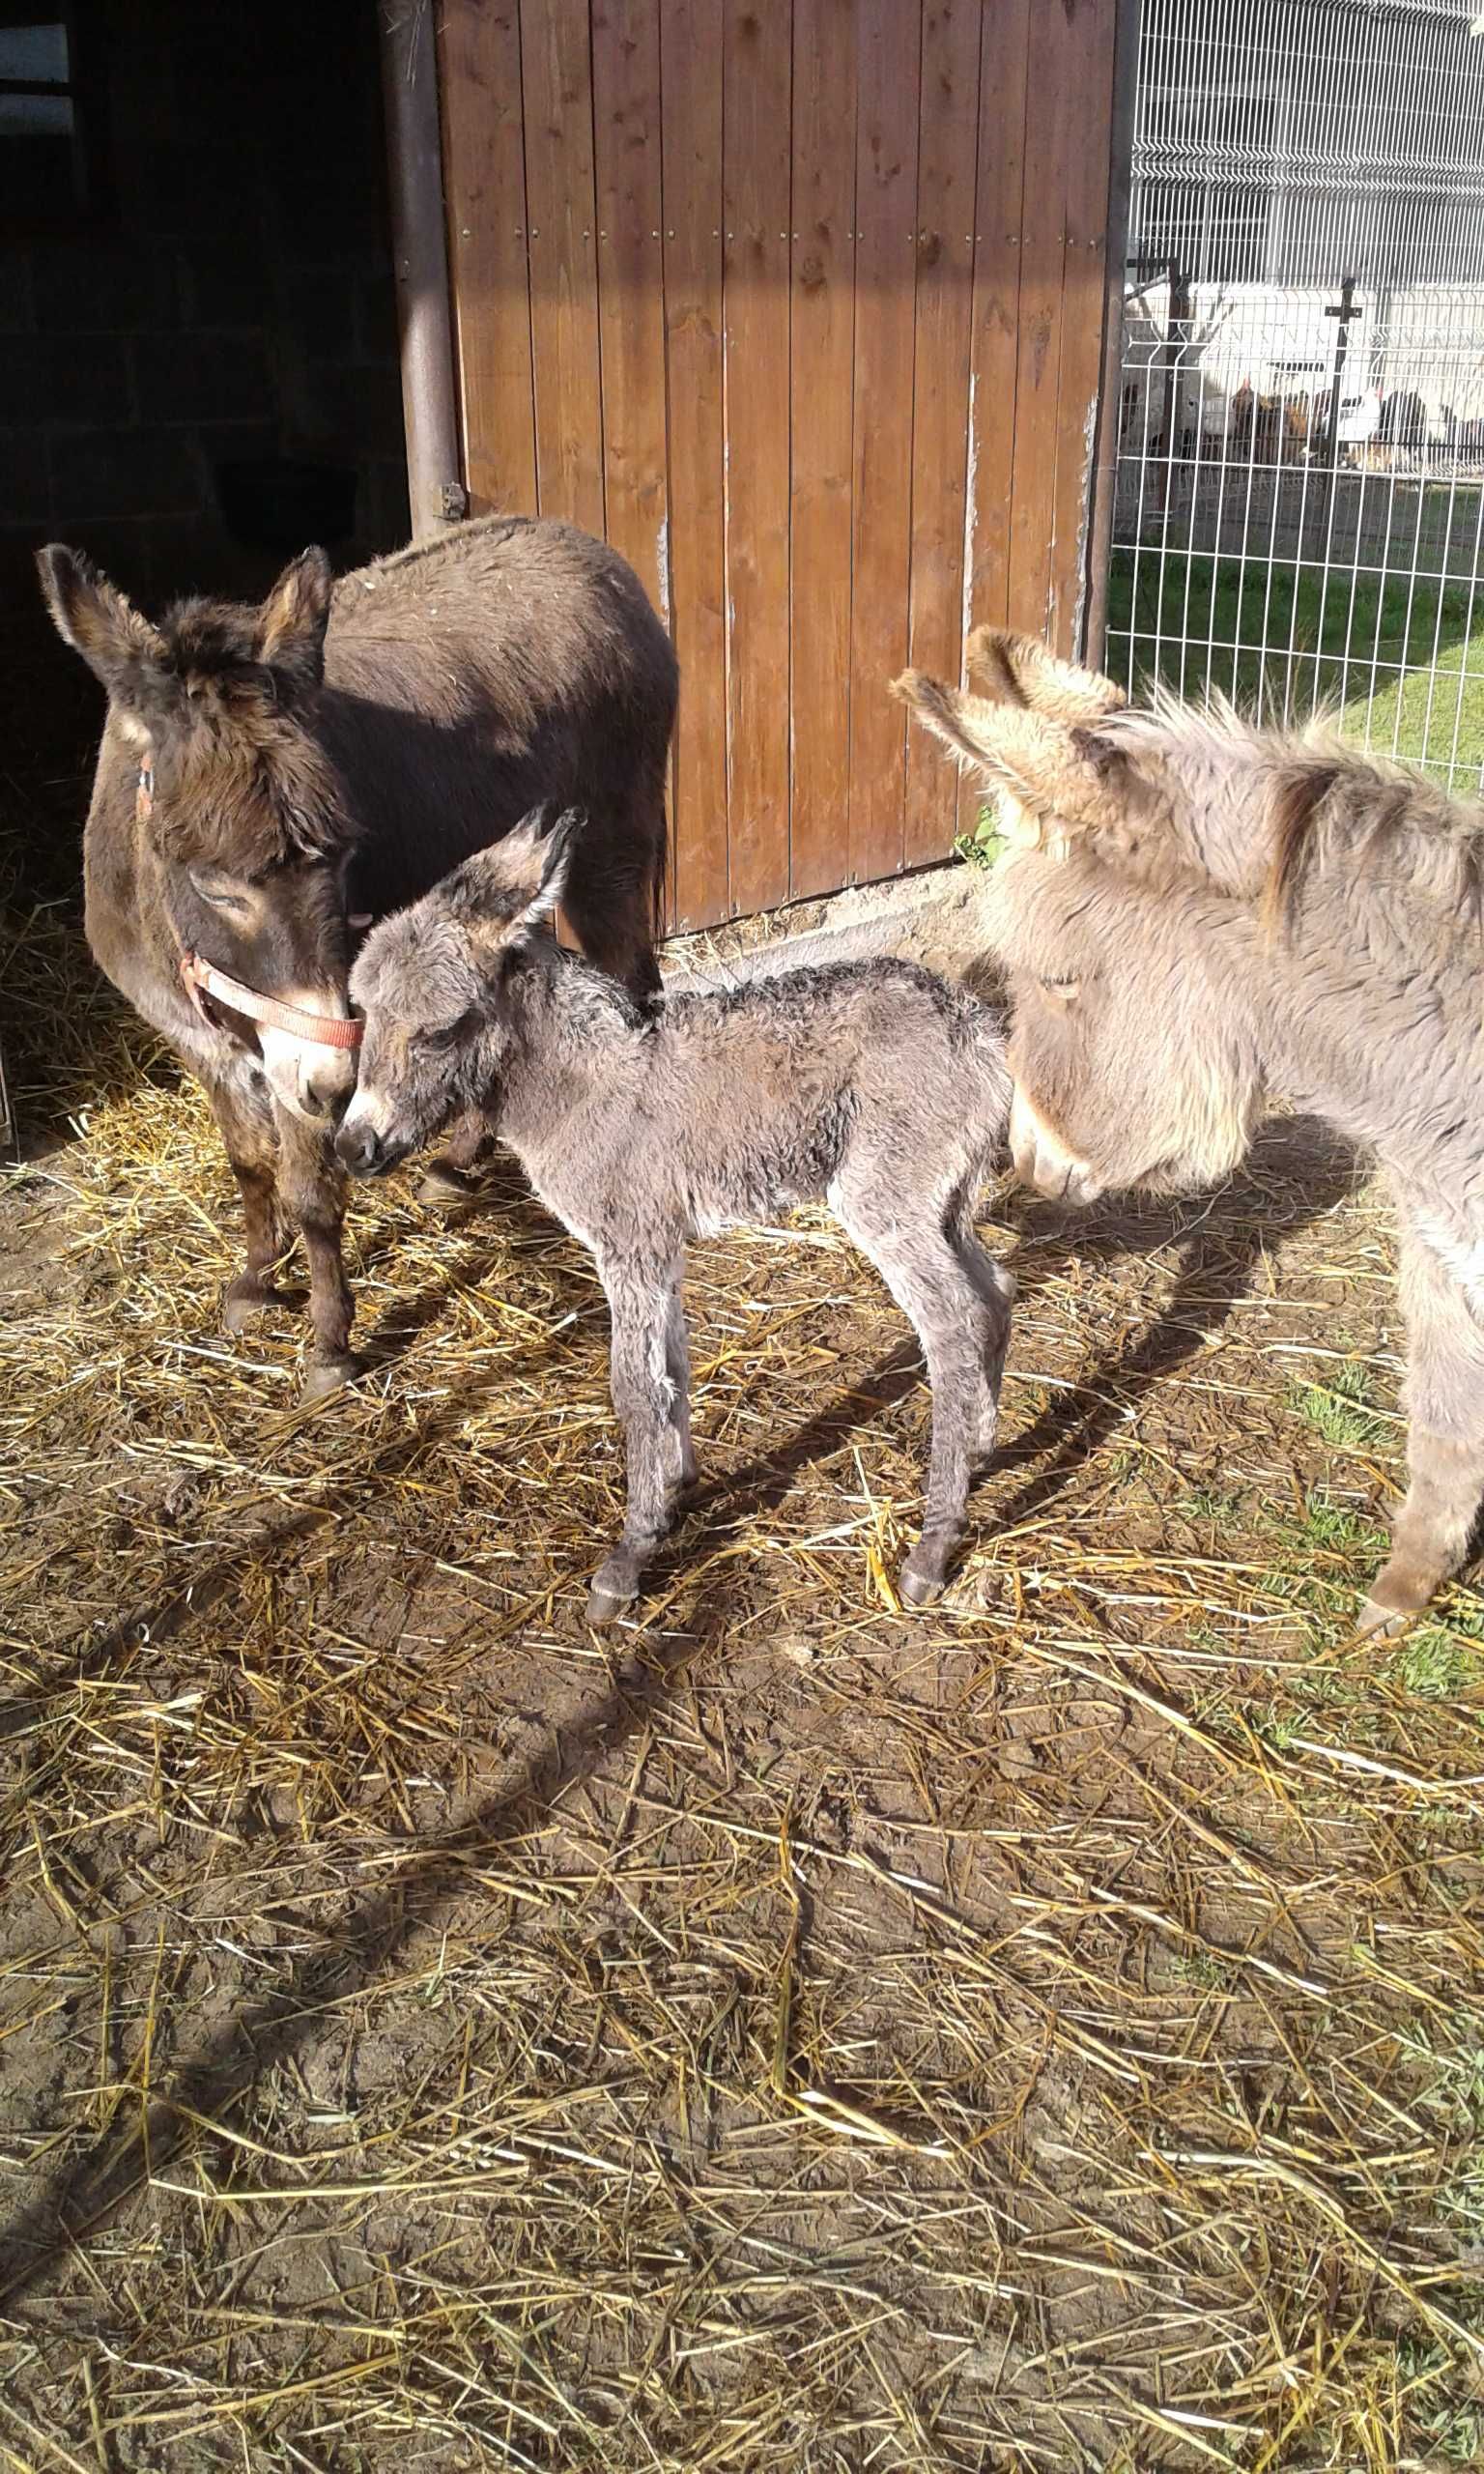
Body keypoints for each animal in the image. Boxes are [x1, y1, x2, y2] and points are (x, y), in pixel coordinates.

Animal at [338, 816, 1013, 1623]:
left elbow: (634, 1386)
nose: (352, 1147)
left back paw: (932, 1547)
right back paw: (979, 1446)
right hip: (944, 1202)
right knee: (995, 1293)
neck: (580, 1082)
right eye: (364, 1015)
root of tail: (976, 1031)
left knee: (953, 1325)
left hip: (887, 1201)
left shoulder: (629, 1244)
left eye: (439, 1032)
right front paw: (673, 1494)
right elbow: (675, 1367)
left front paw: (628, 1559)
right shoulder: (658, 1250)